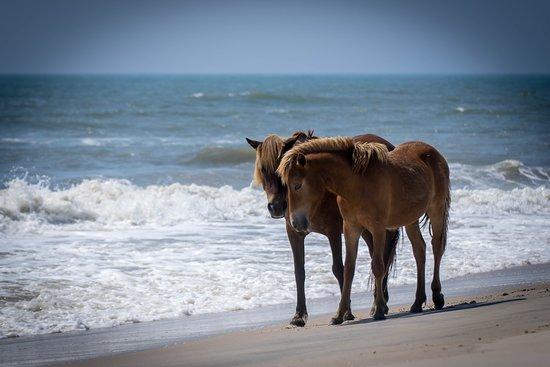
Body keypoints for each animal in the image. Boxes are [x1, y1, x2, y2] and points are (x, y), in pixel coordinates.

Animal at [247, 132, 402, 328]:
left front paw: (346, 312)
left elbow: (339, 269)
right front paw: (299, 316)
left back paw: (378, 305)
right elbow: (299, 272)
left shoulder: (333, 232)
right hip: (366, 229)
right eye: (262, 169)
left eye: (279, 171)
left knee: (383, 257)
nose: (276, 207)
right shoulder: (295, 234)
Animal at [280, 138, 452, 324]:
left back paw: (437, 297)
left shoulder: (378, 228)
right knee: (419, 250)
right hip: (410, 219)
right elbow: (348, 269)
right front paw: (340, 314)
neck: (357, 184)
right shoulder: (351, 228)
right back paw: (417, 302)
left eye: (297, 185)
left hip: (436, 209)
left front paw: (379, 310)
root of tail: (433, 152)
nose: (295, 223)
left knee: (437, 246)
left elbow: (377, 266)